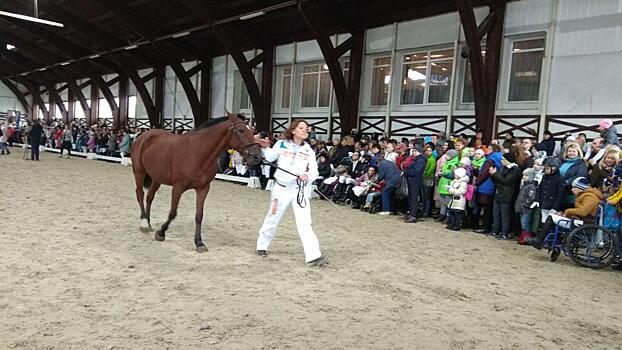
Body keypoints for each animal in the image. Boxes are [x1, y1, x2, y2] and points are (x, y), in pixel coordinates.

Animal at [130, 112, 262, 252]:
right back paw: (144, 223)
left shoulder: (203, 188)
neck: (198, 152)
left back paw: (148, 222)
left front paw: (199, 242)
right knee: (140, 194)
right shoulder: (178, 187)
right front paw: (161, 233)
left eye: (252, 131)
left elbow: (199, 216)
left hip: (156, 178)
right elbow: (173, 213)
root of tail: (142, 136)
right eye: (241, 130)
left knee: (149, 197)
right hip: (139, 171)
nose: (256, 157)